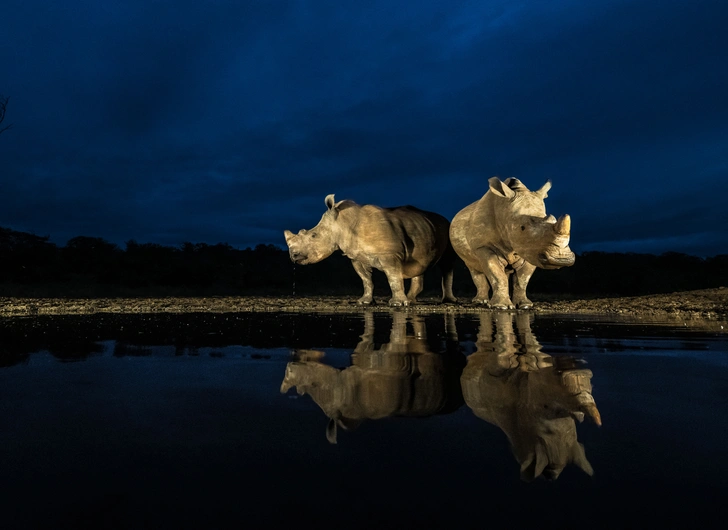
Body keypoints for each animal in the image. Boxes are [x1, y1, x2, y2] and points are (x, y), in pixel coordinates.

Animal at [282, 193, 456, 306]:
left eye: (313, 235)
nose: (293, 255)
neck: (343, 223)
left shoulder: (389, 254)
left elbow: (393, 278)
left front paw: (397, 304)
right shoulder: (355, 256)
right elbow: (366, 280)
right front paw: (364, 302)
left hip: (448, 227)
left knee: (447, 264)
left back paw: (446, 301)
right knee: (419, 265)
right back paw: (412, 300)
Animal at [450, 177, 576, 310]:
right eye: (522, 227)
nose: (561, 259)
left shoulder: (531, 249)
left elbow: (522, 279)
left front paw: (525, 306)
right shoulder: (484, 246)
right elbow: (496, 274)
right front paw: (501, 307)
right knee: (474, 268)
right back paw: (480, 302)